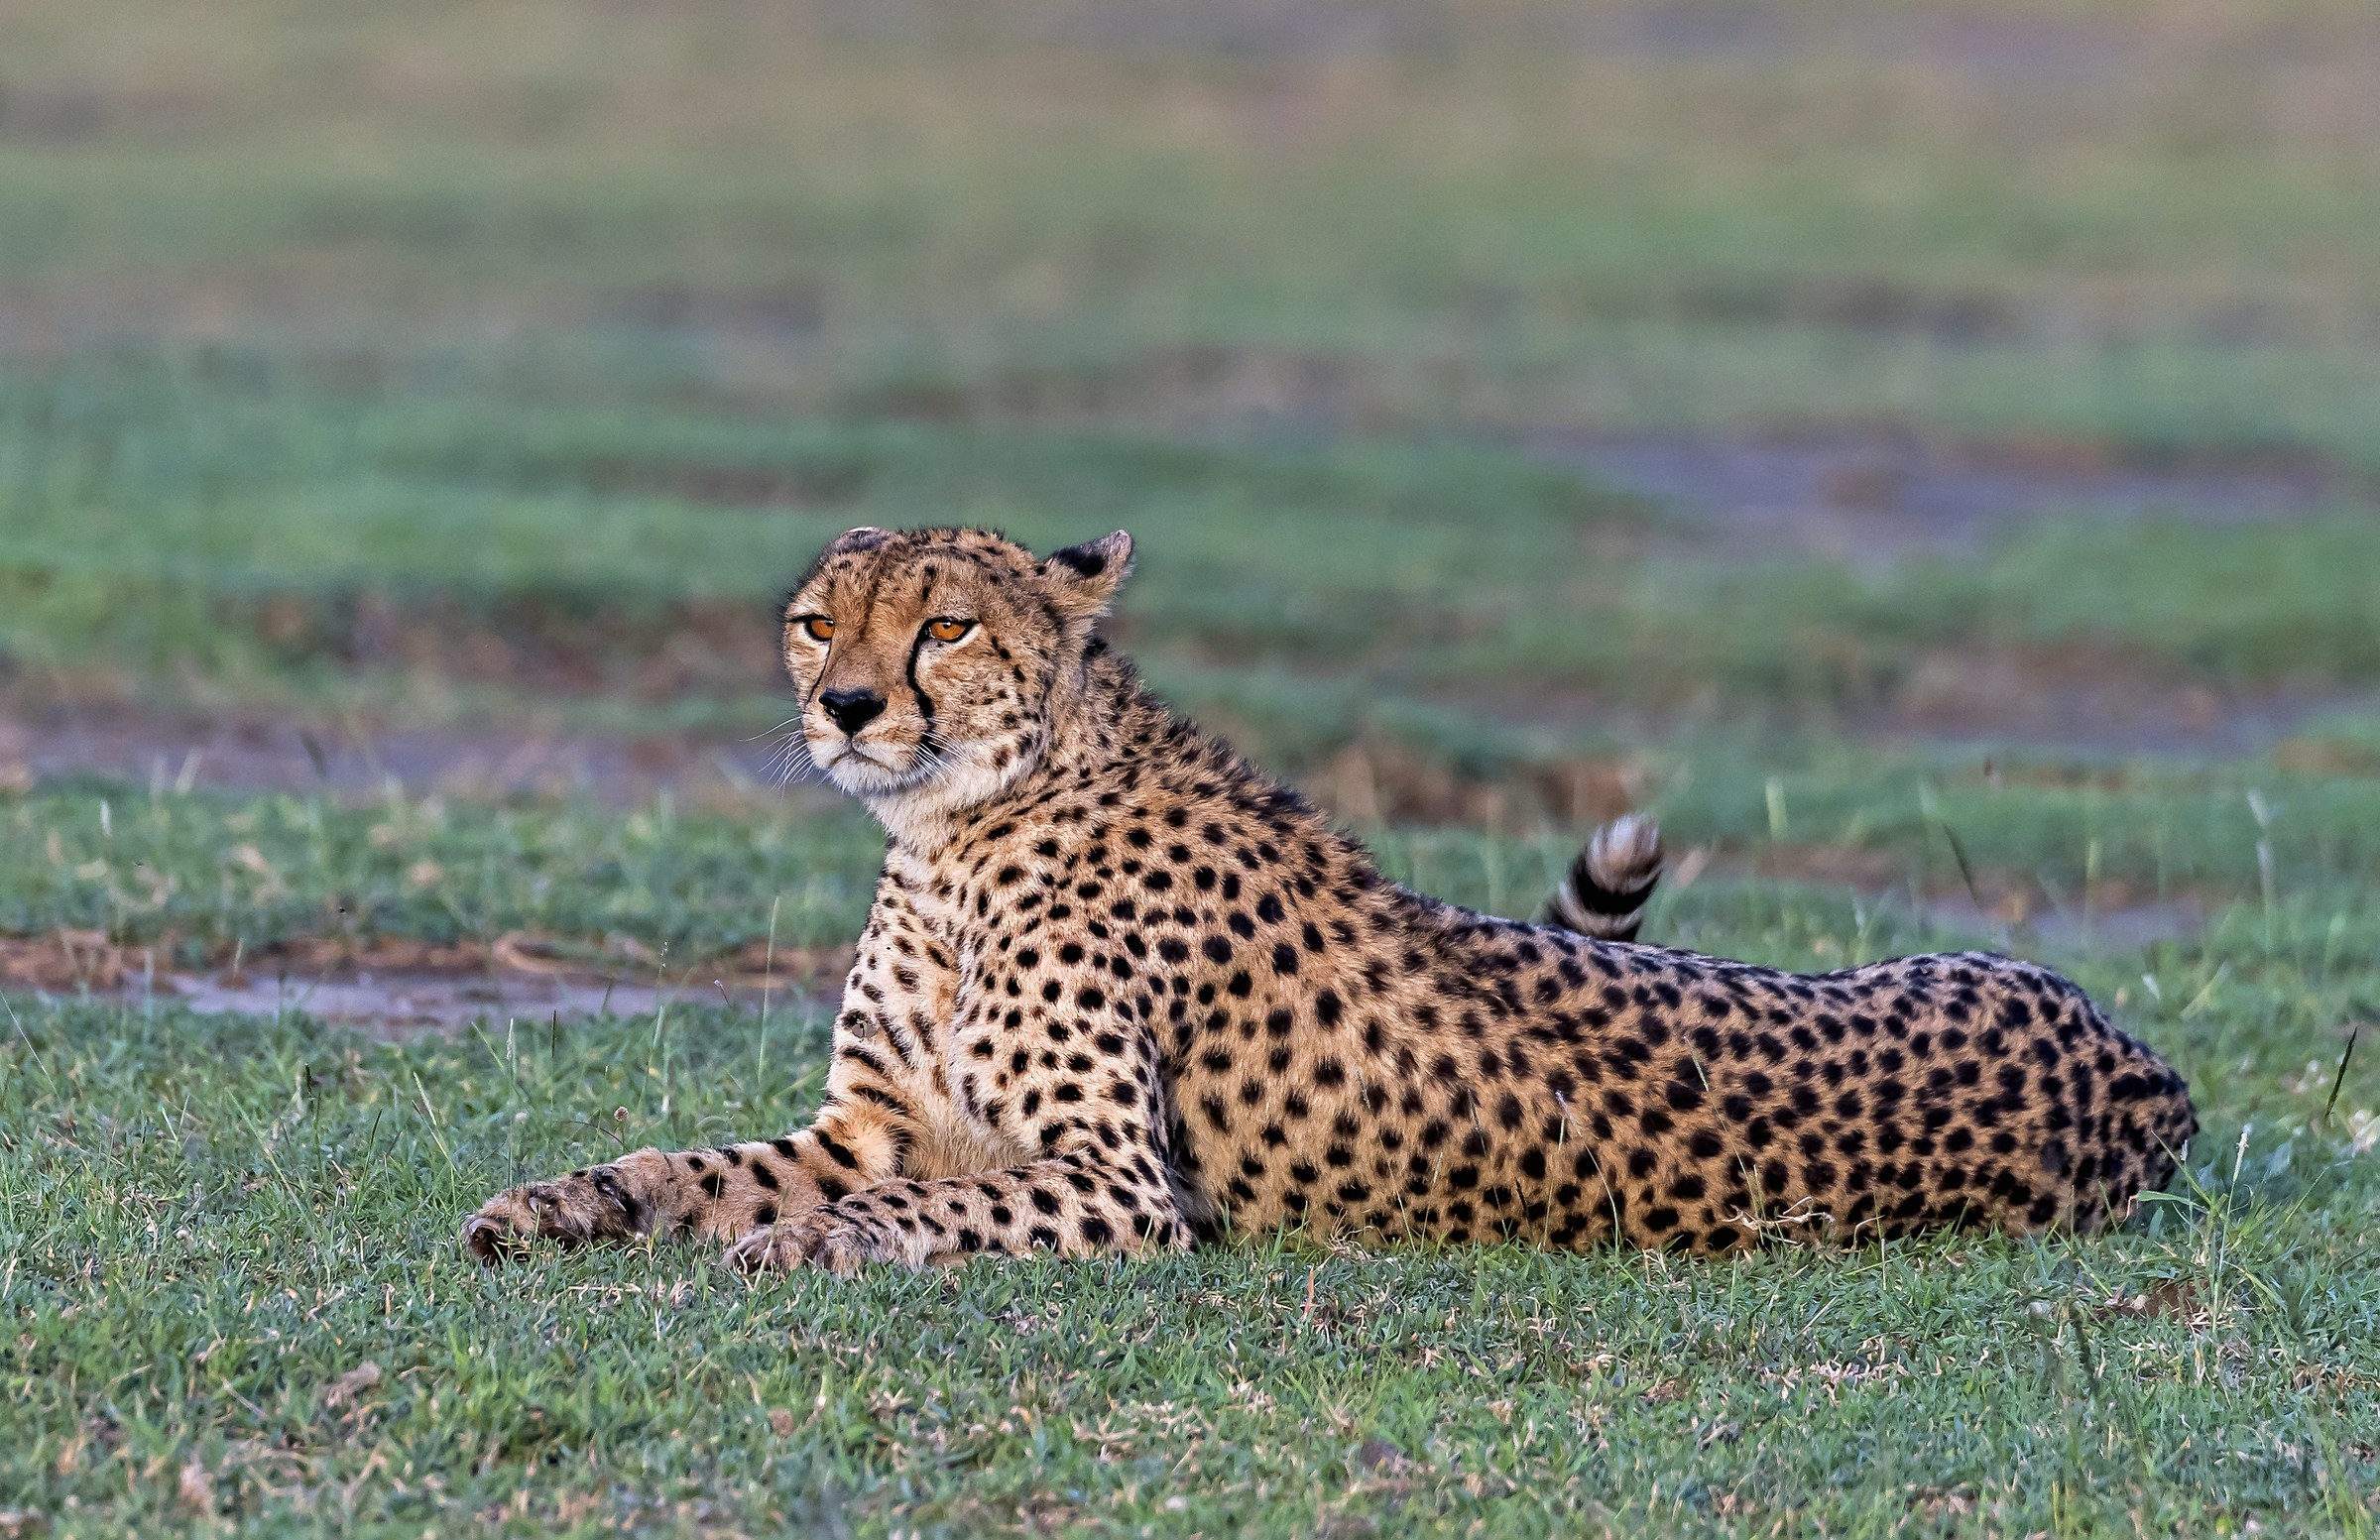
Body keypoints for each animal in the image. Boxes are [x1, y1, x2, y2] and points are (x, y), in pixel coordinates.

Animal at [462, 525, 2196, 1272]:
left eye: (946, 625)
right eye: (820, 622)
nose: (846, 708)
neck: (959, 831)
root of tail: (2146, 1070)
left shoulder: (1118, 1188)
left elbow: (910, 1208)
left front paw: (799, 1247)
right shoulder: (870, 1125)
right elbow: (687, 1165)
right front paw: (558, 1206)